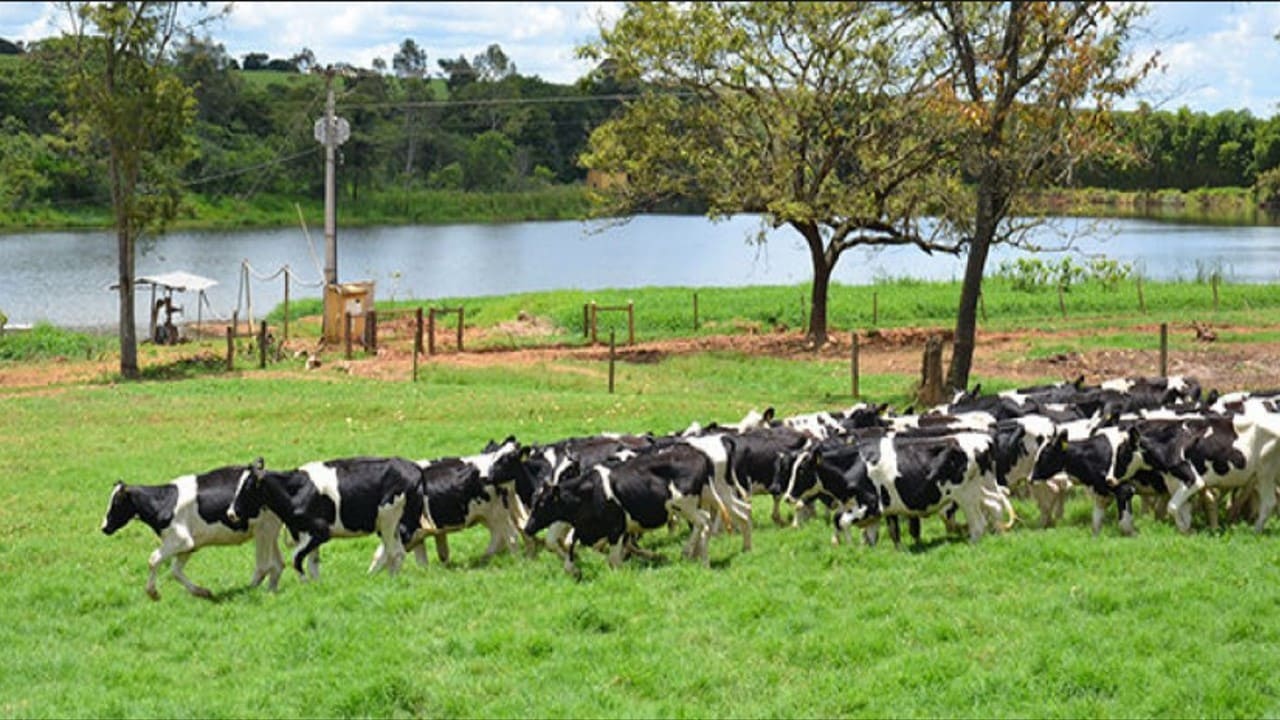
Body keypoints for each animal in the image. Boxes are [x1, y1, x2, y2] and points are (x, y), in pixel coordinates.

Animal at [103, 461, 286, 597]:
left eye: (117, 502)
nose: (104, 527)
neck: (164, 501)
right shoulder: (189, 546)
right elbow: (175, 571)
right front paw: (202, 592)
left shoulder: (181, 540)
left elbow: (153, 559)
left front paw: (153, 593)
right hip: (270, 531)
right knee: (278, 564)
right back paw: (271, 592)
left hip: (263, 530)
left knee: (263, 566)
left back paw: (246, 590)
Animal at [229, 453, 424, 576]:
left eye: (248, 487)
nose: (231, 512)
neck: (294, 490)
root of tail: (413, 467)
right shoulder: (305, 534)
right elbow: (312, 564)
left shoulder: (321, 531)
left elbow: (297, 559)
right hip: (388, 525)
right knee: (389, 553)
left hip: (389, 518)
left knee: (395, 553)